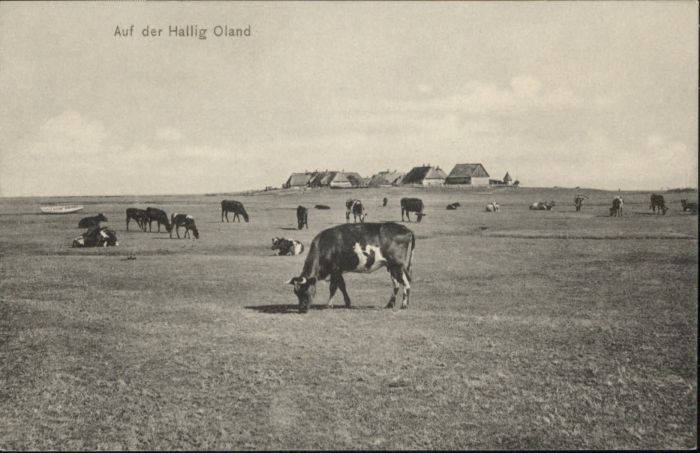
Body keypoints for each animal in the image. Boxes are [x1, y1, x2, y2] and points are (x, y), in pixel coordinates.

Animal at [286, 222, 415, 313]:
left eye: (306, 290)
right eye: (296, 293)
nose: (301, 309)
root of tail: (405, 228)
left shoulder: (335, 269)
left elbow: (333, 287)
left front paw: (329, 305)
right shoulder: (338, 270)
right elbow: (342, 286)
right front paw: (347, 302)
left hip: (398, 265)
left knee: (406, 281)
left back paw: (404, 305)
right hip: (392, 266)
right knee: (396, 284)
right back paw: (390, 304)